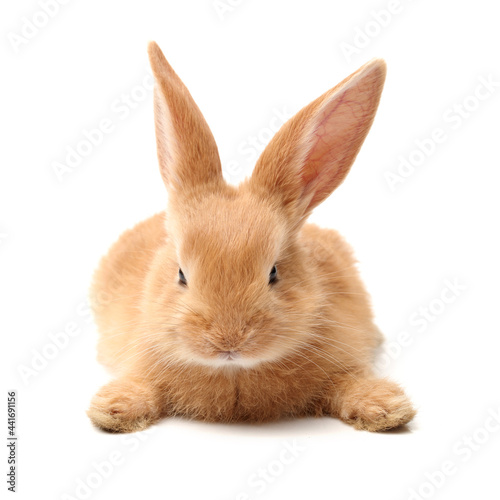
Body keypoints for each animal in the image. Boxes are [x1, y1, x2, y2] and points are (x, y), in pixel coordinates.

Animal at [88, 42, 416, 434]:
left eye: (273, 272)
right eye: (181, 275)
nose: (228, 341)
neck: (234, 374)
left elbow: (350, 381)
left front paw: (386, 408)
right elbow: (140, 383)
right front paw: (114, 409)